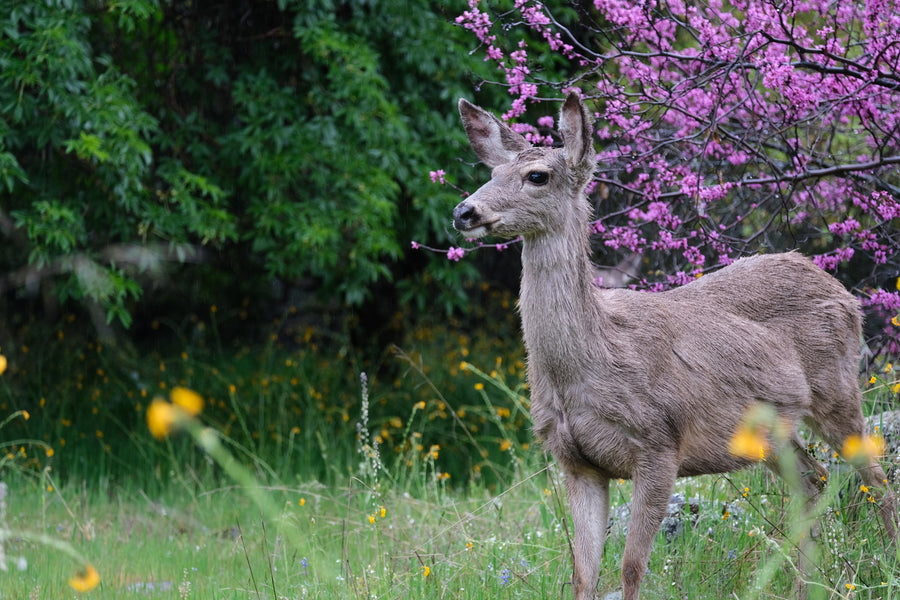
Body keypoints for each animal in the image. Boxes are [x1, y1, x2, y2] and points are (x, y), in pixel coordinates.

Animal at [451, 92, 898, 600]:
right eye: (491, 173)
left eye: (537, 175)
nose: (464, 212)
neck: (587, 362)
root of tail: (841, 290)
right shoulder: (576, 463)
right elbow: (584, 575)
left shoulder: (659, 443)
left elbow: (631, 568)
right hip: (772, 431)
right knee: (813, 480)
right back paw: (806, 587)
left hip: (838, 388)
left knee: (875, 478)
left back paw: (886, 564)